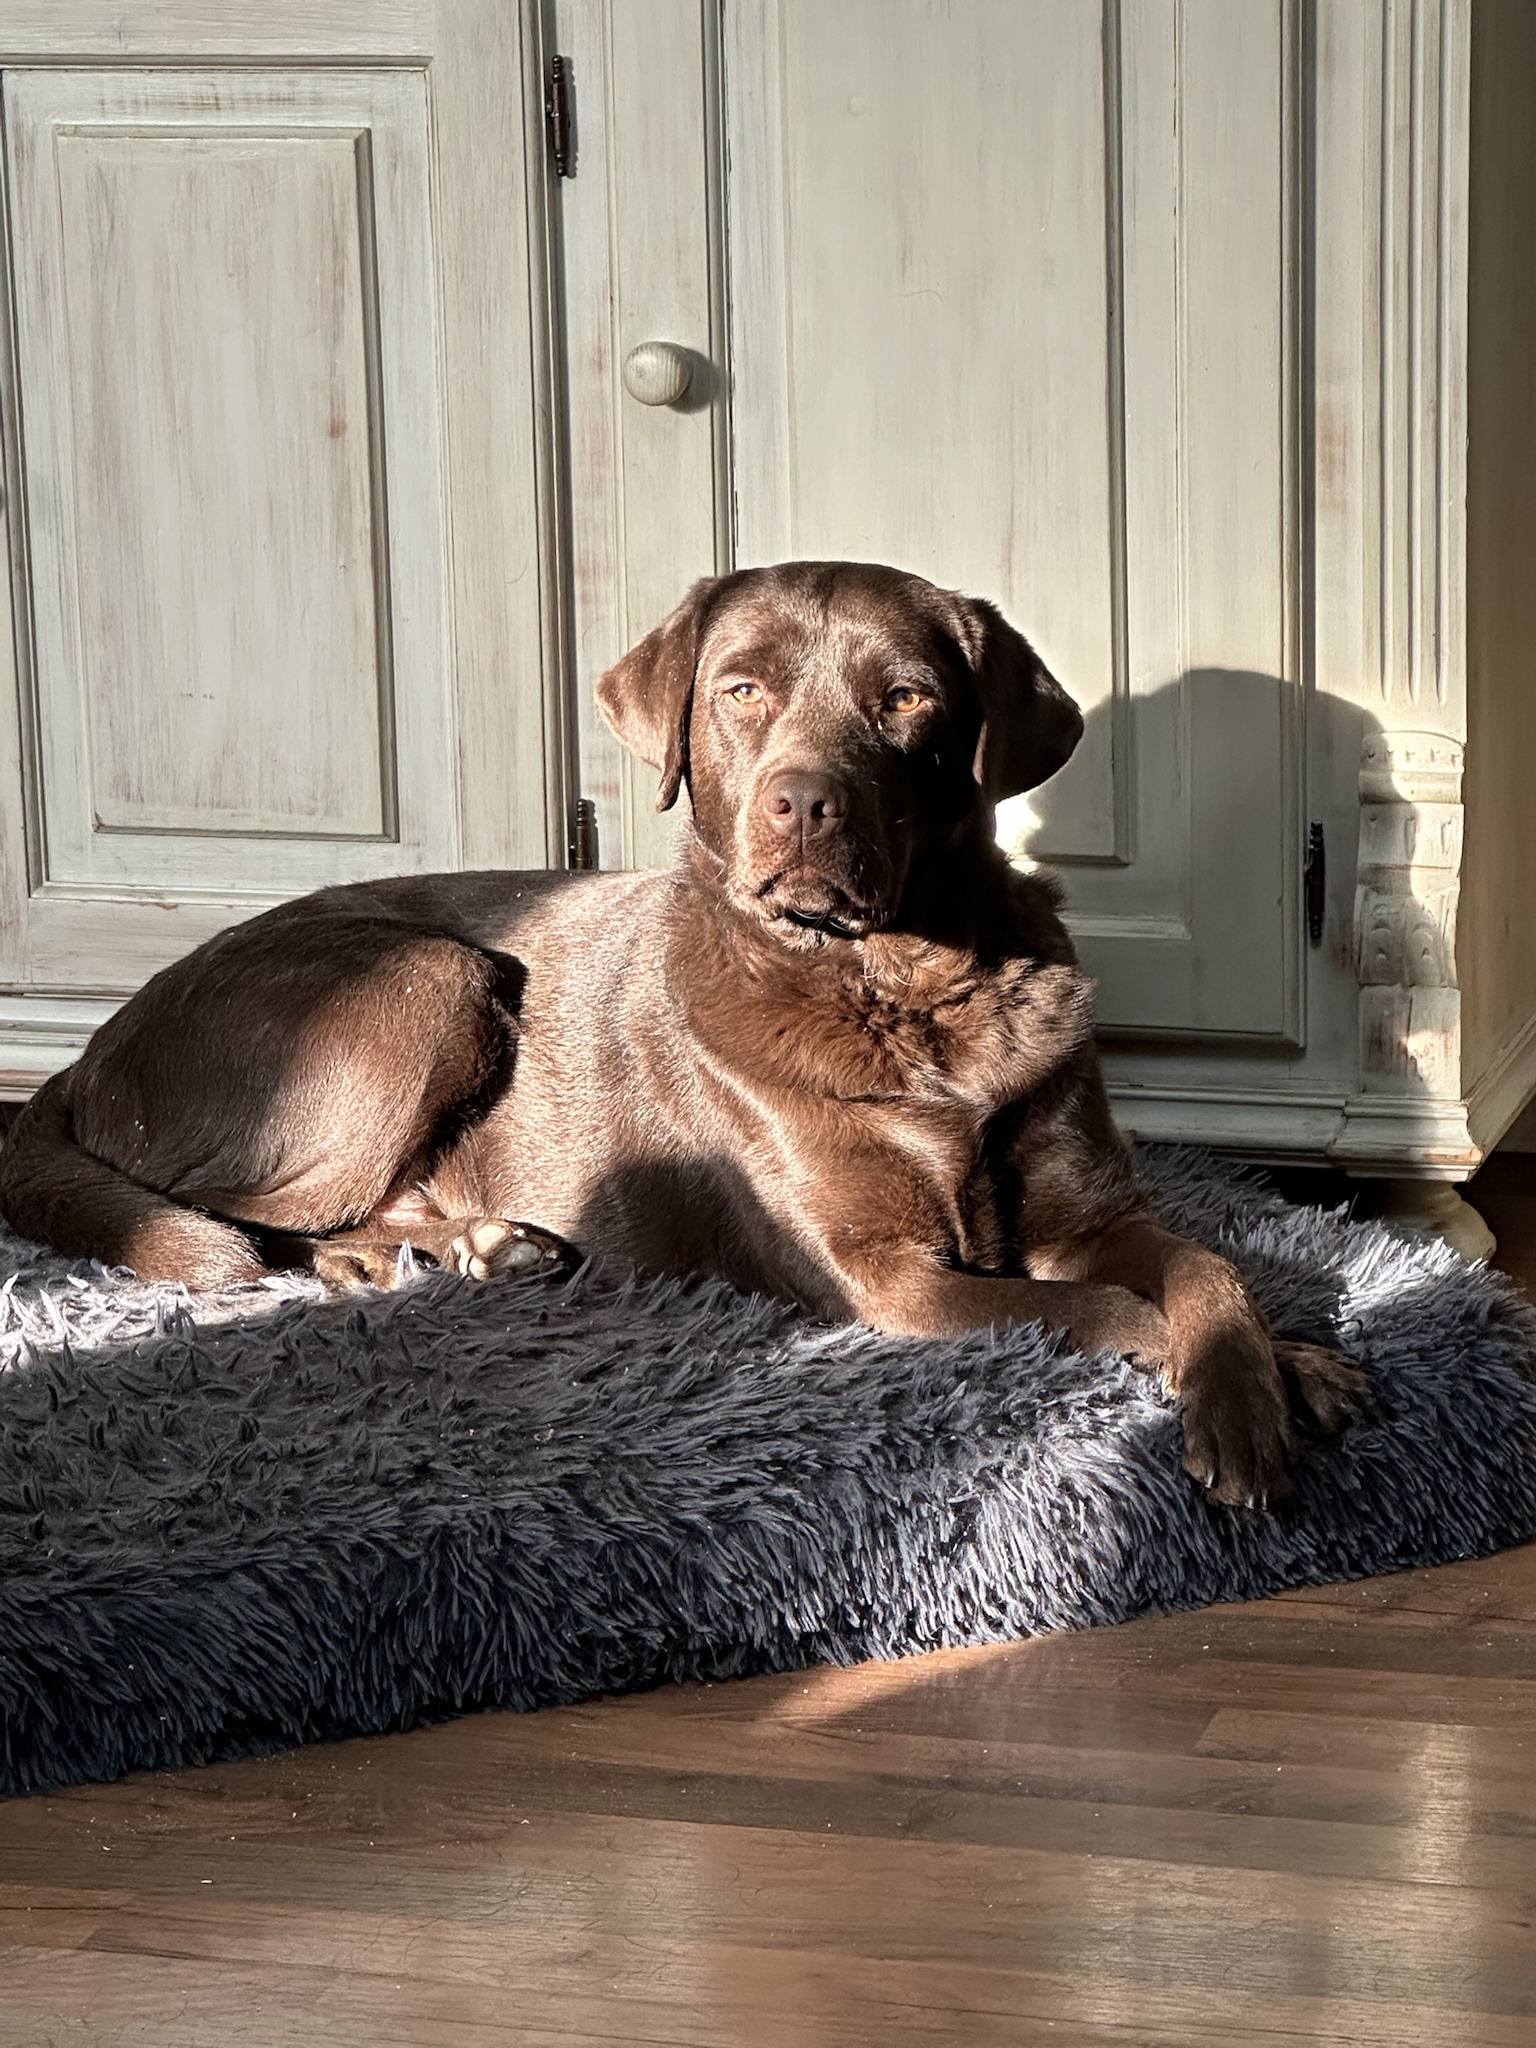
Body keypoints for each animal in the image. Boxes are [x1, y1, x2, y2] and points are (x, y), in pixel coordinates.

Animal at [0, 561, 1368, 1507]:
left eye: (907, 697)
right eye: (740, 690)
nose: (803, 803)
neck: (905, 988)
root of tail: (88, 1050)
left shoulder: (1090, 1210)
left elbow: (1204, 1267)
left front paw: (1271, 1368)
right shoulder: (884, 1275)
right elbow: (1096, 1309)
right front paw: (1264, 1374)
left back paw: (482, 1246)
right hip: (433, 977)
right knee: (239, 1215)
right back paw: (403, 1258)